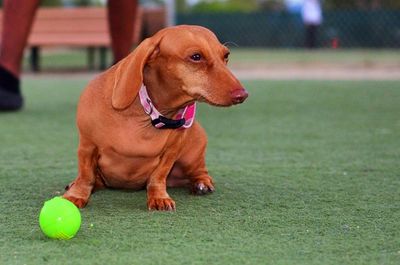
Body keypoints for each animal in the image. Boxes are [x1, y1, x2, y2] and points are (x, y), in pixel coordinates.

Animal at [63, 25, 247, 210]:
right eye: (196, 57)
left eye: (226, 55)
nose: (242, 95)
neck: (147, 115)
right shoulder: (87, 146)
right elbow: (86, 176)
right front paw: (76, 196)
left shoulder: (170, 153)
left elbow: (158, 176)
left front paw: (159, 197)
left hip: (191, 158)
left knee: (201, 172)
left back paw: (202, 183)